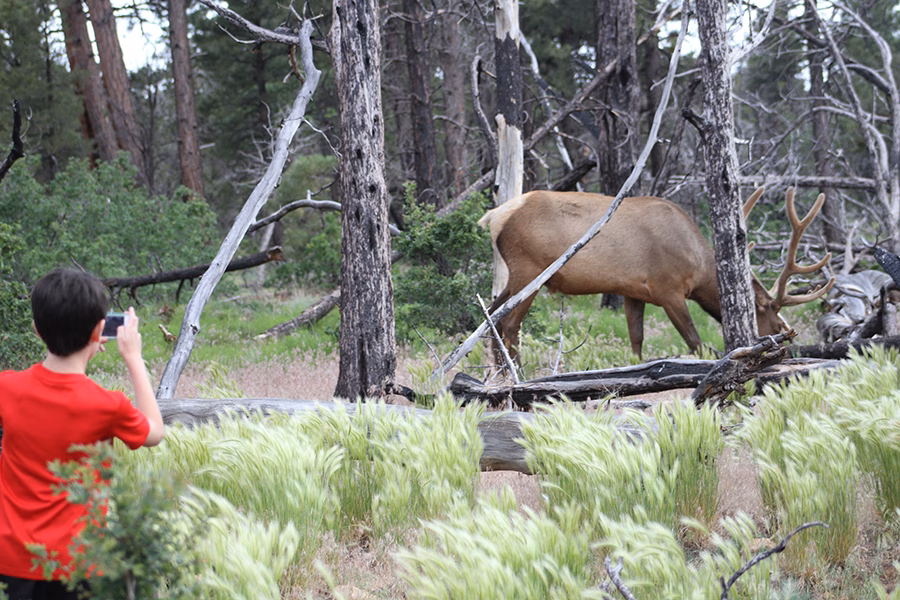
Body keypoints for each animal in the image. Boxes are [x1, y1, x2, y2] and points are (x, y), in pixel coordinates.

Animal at [479, 187, 835, 361]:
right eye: (769, 311)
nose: (787, 338)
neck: (700, 266)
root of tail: (494, 217)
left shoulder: (632, 292)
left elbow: (636, 341)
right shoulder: (668, 289)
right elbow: (696, 343)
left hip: (515, 277)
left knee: (490, 318)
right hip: (529, 271)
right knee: (509, 325)